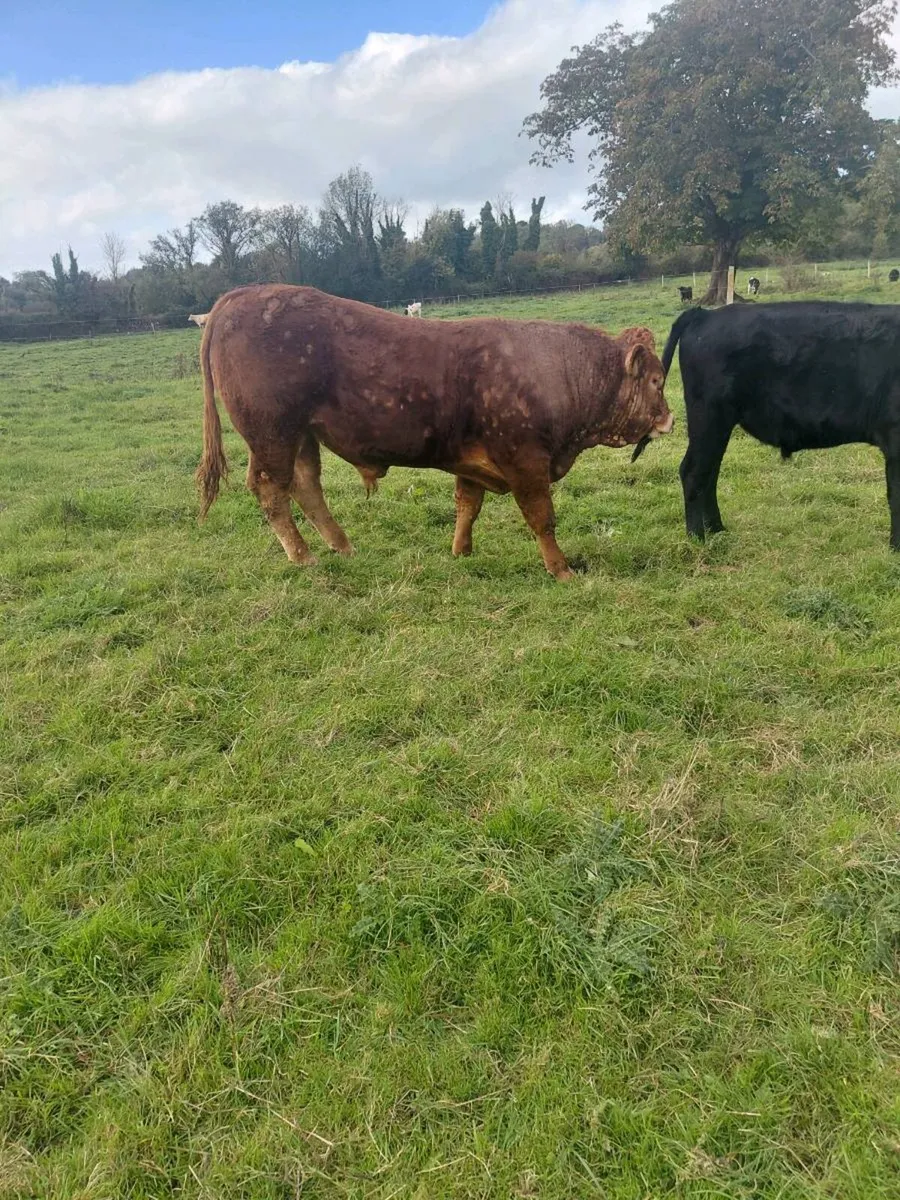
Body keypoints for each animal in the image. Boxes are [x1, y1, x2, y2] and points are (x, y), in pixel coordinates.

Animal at [196, 285, 673, 580]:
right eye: (656, 380)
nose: (669, 419)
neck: (556, 370)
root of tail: (241, 295)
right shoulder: (525, 461)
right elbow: (542, 518)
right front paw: (561, 569)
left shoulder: (473, 462)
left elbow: (468, 506)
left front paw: (461, 551)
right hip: (272, 433)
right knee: (270, 489)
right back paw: (303, 556)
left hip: (301, 436)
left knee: (305, 485)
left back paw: (342, 547)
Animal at [662, 302, 900, 551]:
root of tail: (704, 313)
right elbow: (896, 496)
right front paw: (896, 548)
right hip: (708, 417)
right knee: (693, 472)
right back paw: (697, 538)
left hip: (718, 425)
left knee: (710, 472)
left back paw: (717, 529)